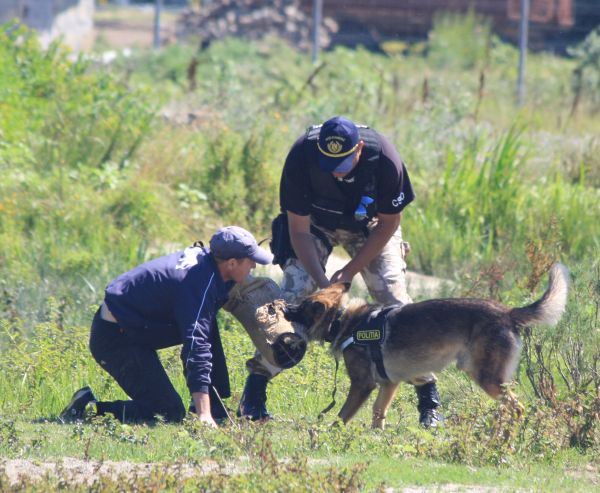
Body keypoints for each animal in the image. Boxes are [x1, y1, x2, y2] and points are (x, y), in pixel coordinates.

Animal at [284, 264, 568, 428]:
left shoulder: (363, 385)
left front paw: (329, 435)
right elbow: (378, 413)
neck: (344, 319)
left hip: (487, 378)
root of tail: (507, 312)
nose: (283, 307)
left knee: (517, 408)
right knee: (512, 408)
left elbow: (342, 416)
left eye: (301, 306)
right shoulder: (389, 384)